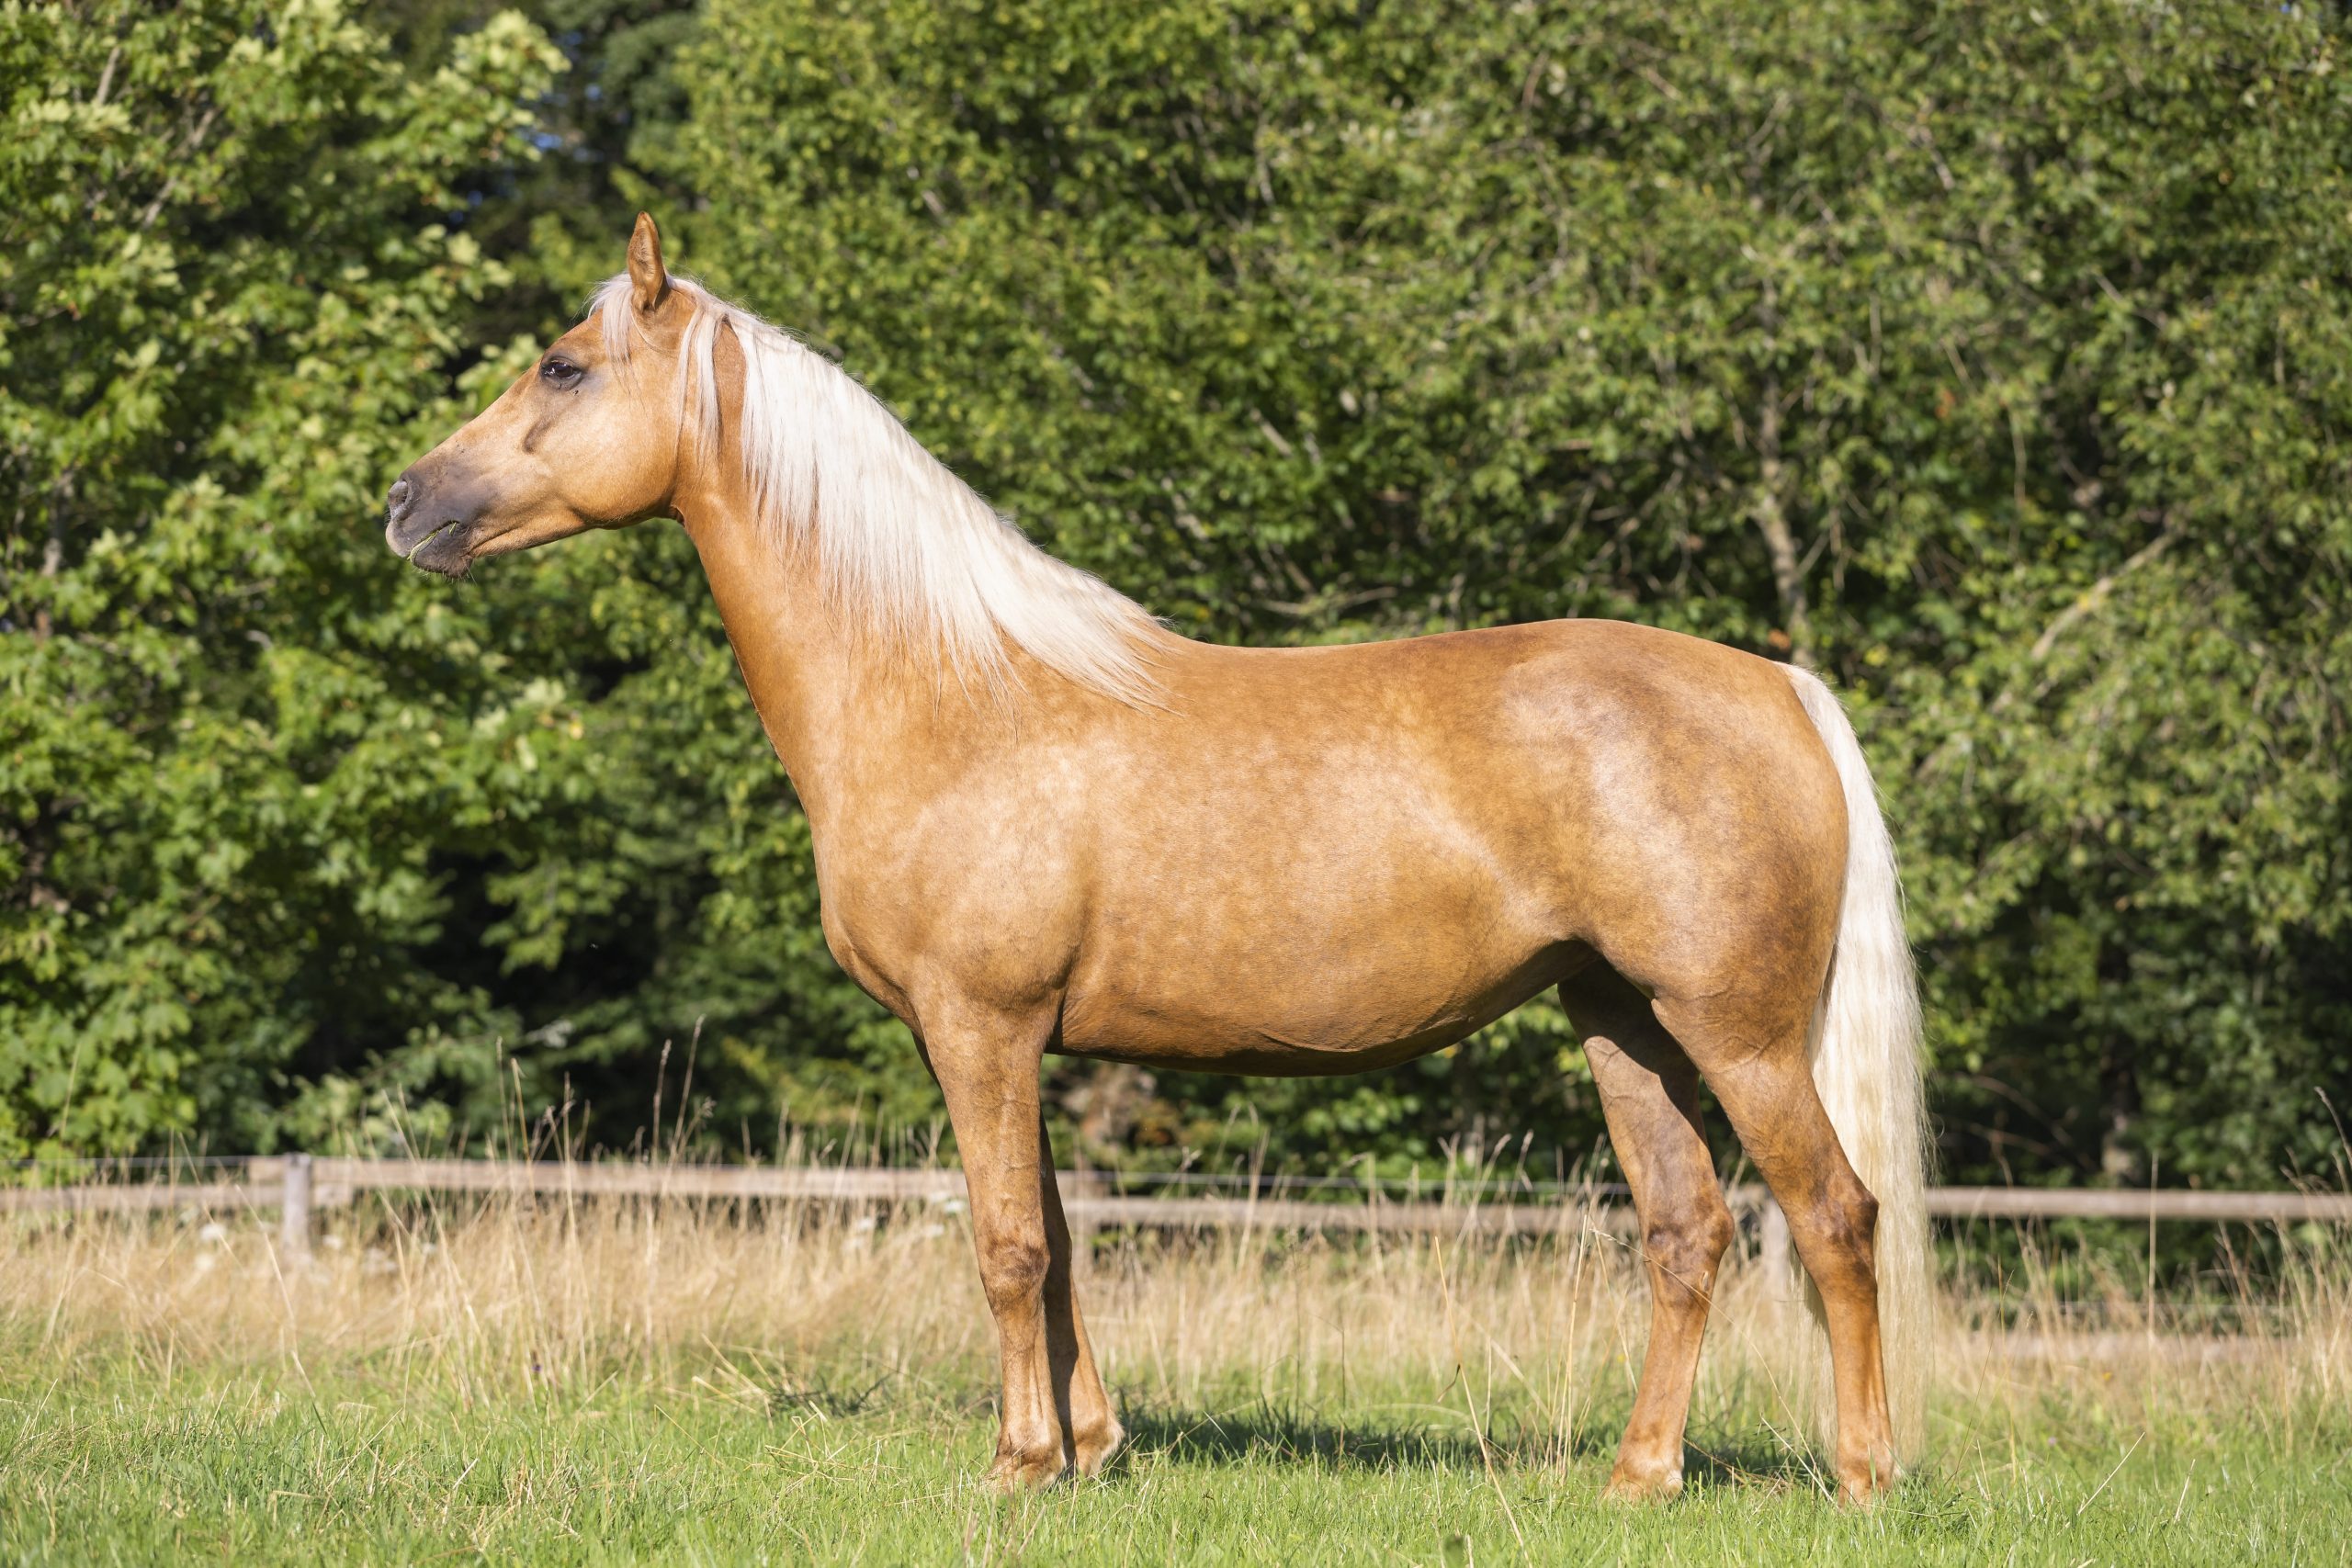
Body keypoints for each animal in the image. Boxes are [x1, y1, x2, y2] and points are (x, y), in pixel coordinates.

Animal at [385, 215, 1928, 1504]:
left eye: (564, 364)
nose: (406, 501)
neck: (953, 689)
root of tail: (1780, 683)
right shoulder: (1015, 1040)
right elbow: (1060, 1240)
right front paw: (1091, 1445)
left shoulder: (981, 1027)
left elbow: (1007, 1245)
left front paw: (1017, 1464)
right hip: (1625, 1024)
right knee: (1688, 1232)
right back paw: (1638, 1476)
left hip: (1738, 1035)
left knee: (1836, 1214)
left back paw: (1862, 1476)